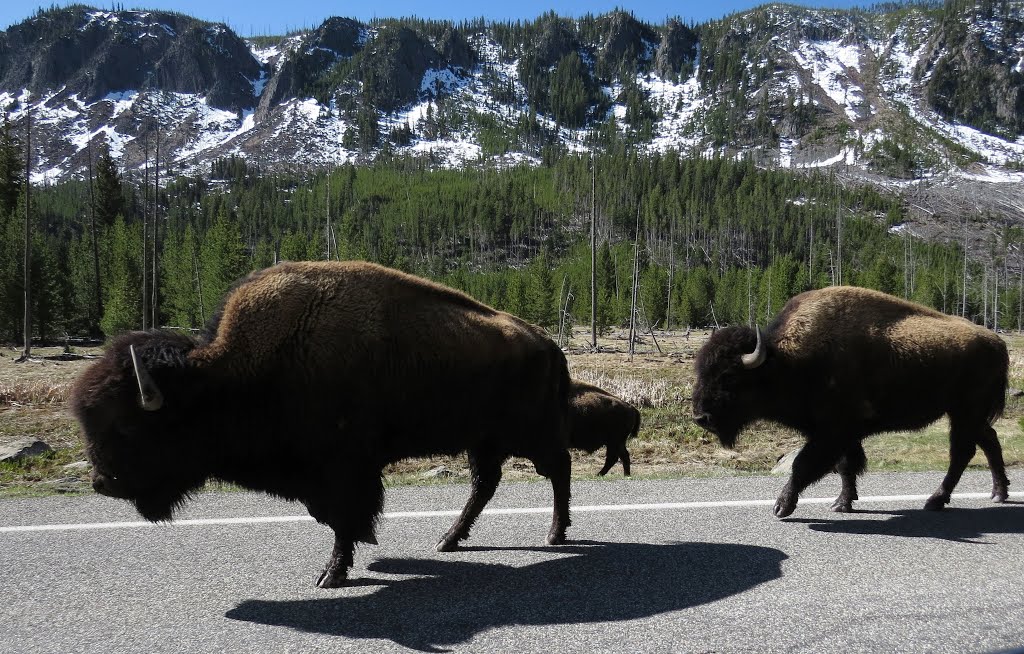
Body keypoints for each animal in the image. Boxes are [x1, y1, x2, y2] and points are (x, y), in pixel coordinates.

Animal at [70, 259, 577, 589]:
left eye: (128, 425)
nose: (102, 482)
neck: (228, 377)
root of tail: (548, 344)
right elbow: (334, 516)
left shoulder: (344, 469)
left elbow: (342, 518)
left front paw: (331, 574)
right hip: (482, 439)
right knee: (485, 485)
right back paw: (448, 540)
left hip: (529, 433)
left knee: (558, 469)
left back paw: (554, 534)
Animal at [688, 286, 1007, 515]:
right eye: (701, 371)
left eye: (729, 376)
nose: (701, 418)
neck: (786, 361)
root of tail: (997, 341)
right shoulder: (840, 434)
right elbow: (845, 465)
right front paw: (842, 503)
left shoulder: (833, 431)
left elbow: (804, 464)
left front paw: (782, 507)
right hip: (968, 415)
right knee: (989, 441)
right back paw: (999, 493)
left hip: (964, 412)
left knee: (962, 453)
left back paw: (936, 501)